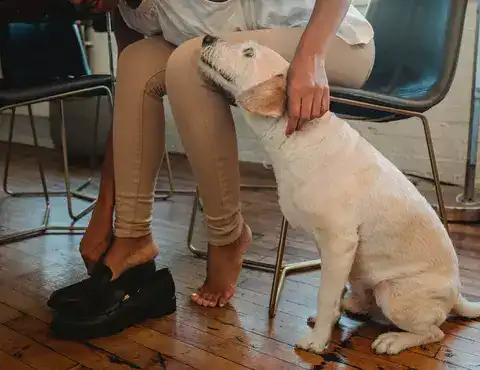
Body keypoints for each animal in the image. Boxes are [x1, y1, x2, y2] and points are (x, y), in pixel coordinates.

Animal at [198, 35, 480, 356]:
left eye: (249, 52)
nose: (206, 37)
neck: (296, 138)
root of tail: (457, 296)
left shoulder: (339, 243)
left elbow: (324, 294)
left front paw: (318, 341)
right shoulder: (329, 249)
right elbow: (331, 293)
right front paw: (328, 322)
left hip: (392, 292)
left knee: (433, 332)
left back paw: (394, 340)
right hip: (361, 274)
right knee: (365, 299)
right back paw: (353, 305)